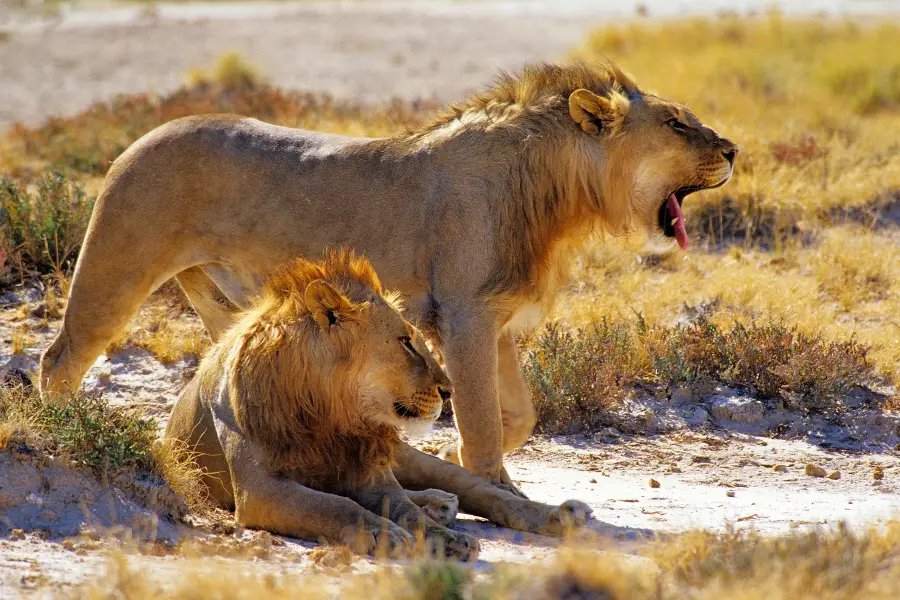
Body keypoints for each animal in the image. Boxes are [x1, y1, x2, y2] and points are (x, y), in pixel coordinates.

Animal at [38, 62, 736, 492]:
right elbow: (483, 415)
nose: (733, 150)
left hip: (218, 296)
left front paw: (458, 458)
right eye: (677, 123)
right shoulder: (465, 314)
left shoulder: (498, 320)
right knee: (61, 356)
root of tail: (146, 131)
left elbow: (517, 415)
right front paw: (491, 482)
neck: (557, 197)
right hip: (117, 265)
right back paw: (67, 432)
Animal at [165, 250, 596, 556]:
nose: (449, 390)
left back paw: (559, 515)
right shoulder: (259, 489)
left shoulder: (372, 472)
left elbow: (401, 507)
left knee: (482, 490)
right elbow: (336, 506)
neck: (332, 412)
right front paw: (383, 532)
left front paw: (442, 538)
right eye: (406, 343)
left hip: (411, 458)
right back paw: (439, 504)